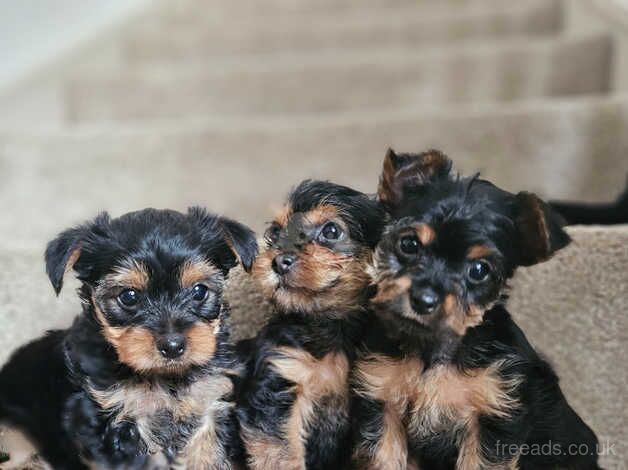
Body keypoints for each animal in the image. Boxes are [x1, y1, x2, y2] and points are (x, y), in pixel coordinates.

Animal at [0, 207, 258, 468]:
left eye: (199, 291)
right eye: (129, 296)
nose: (172, 345)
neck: (164, 376)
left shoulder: (210, 404)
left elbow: (208, 456)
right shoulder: (111, 417)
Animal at [238, 181, 386, 470]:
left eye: (331, 231)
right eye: (275, 233)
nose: (278, 261)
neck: (328, 325)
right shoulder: (281, 377)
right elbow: (283, 454)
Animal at [350, 151, 600, 470]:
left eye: (479, 270)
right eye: (409, 244)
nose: (424, 299)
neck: (433, 352)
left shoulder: (493, 417)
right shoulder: (383, 401)